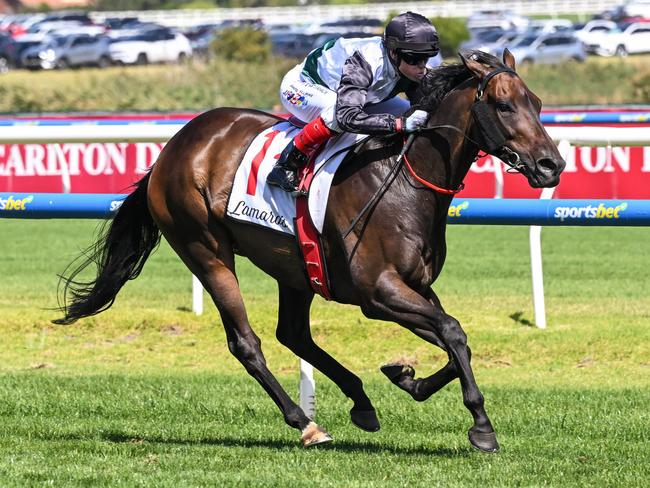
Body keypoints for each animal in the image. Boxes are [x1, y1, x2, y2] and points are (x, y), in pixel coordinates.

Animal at [55, 49, 560, 450]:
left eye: (536, 103)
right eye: (503, 105)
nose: (551, 165)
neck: (405, 180)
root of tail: (173, 146)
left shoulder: (414, 286)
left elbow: (457, 341)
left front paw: (407, 378)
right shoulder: (379, 293)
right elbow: (453, 332)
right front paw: (481, 427)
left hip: (294, 267)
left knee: (294, 334)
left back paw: (360, 401)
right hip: (204, 249)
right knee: (247, 342)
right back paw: (305, 423)